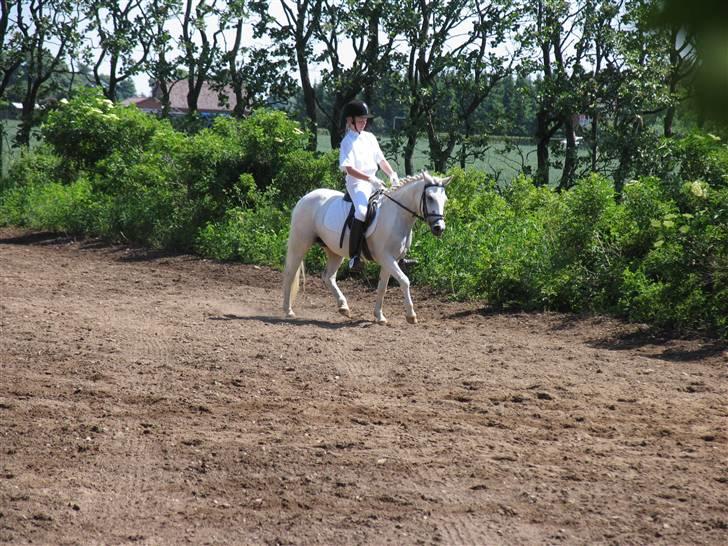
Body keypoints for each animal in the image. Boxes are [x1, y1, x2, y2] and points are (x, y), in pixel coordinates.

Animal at [282, 171, 450, 324]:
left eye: (445, 200)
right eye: (430, 198)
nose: (439, 228)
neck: (396, 215)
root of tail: (305, 197)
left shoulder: (391, 260)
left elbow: (382, 287)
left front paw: (379, 316)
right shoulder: (386, 258)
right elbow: (404, 280)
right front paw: (411, 315)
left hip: (334, 251)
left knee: (328, 277)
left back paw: (343, 307)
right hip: (300, 243)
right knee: (290, 273)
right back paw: (288, 310)